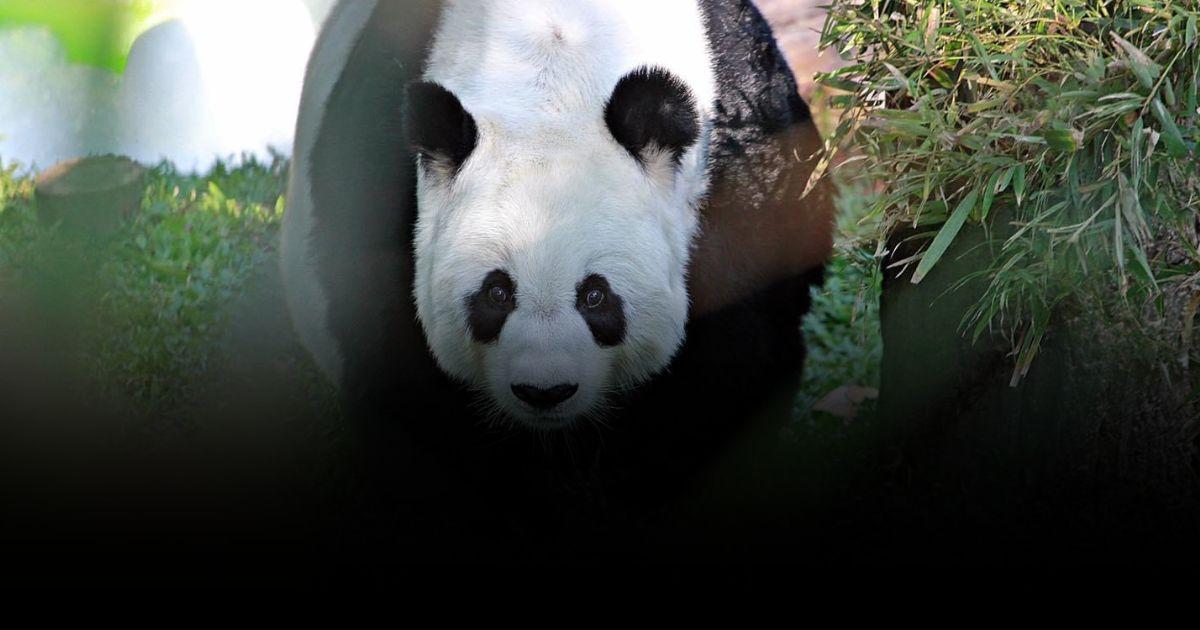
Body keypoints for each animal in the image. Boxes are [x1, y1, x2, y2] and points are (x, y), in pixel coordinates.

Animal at [280, 0, 835, 559]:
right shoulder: (378, 201)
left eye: (595, 296)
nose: (544, 392)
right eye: (496, 293)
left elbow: (729, 368)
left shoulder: (741, 171)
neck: (552, 69)